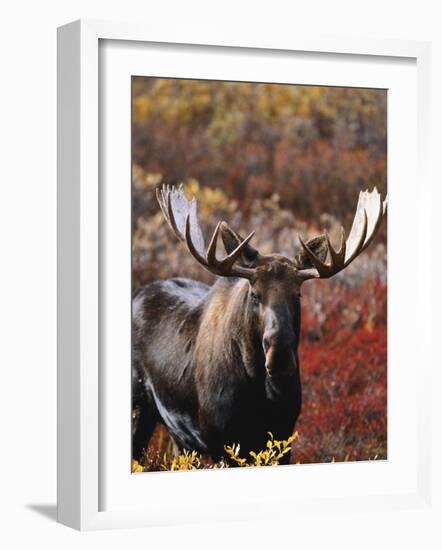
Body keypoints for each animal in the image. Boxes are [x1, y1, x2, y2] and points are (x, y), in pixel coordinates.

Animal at [132, 185, 386, 466]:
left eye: (298, 294)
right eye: (255, 294)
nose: (280, 356)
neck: (258, 390)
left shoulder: (283, 435)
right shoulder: (220, 440)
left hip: (180, 439)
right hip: (139, 409)